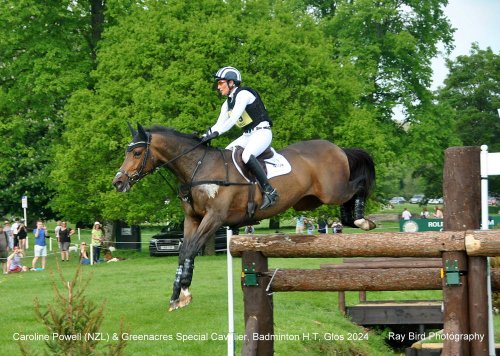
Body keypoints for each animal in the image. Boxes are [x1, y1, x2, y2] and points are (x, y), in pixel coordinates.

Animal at [110, 123, 376, 312]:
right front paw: (177, 295)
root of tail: (337, 148)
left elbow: (191, 249)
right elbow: (184, 251)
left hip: (332, 191)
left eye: (136, 152)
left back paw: (362, 220)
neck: (197, 167)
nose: (118, 182)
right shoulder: (192, 219)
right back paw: (354, 219)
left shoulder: (214, 218)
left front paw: (184, 292)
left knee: (359, 184)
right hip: (312, 200)